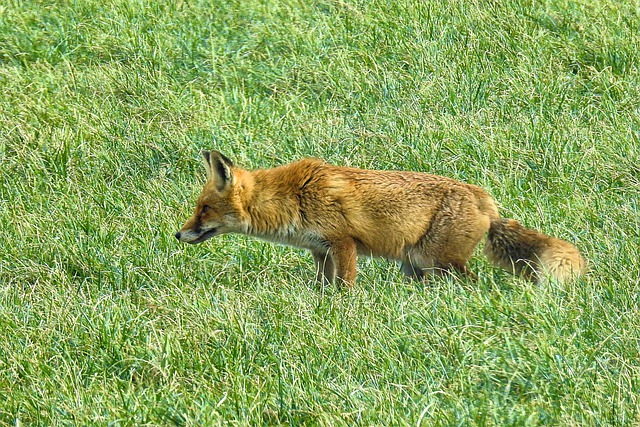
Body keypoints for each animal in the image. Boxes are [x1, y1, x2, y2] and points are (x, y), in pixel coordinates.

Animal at [175, 150, 584, 288]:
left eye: (203, 209)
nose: (178, 235)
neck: (292, 198)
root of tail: (488, 202)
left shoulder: (343, 243)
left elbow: (345, 287)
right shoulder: (320, 251)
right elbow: (322, 287)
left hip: (438, 262)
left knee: (474, 284)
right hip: (418, 266)